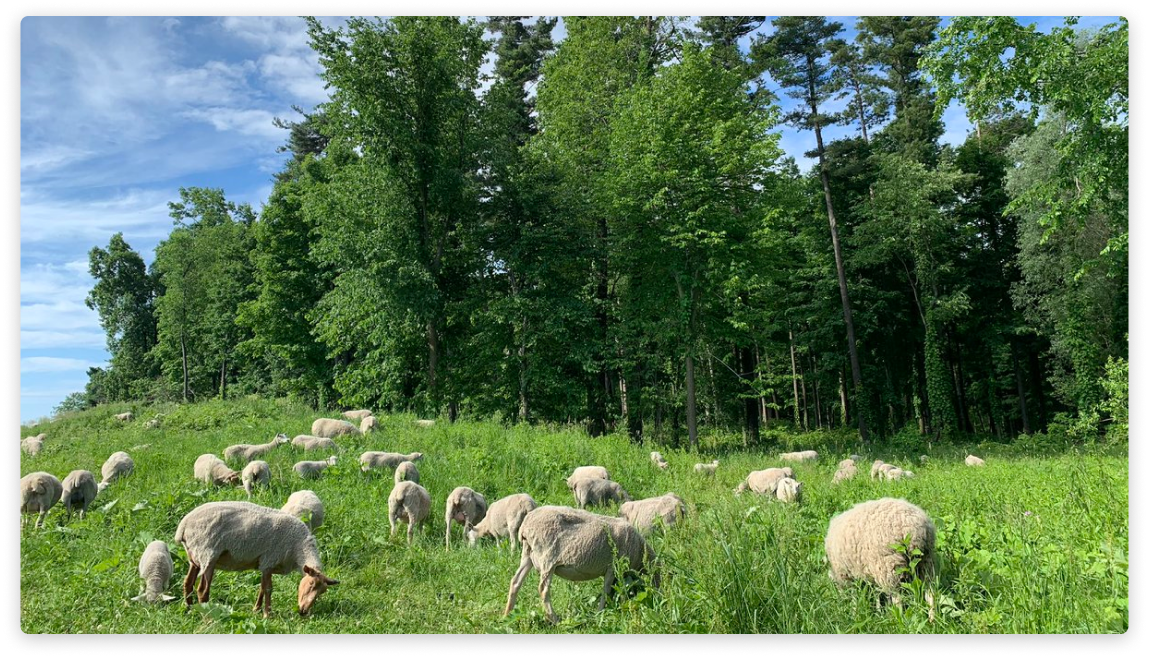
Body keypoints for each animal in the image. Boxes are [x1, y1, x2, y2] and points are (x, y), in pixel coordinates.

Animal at [175, 501, 339, 617]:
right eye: (311, 585)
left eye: (322, 592)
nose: (303, 611)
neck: (298, 548)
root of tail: (183, 525)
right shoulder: (269, 560)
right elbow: (268, 589)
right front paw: (267, 614)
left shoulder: (265, 564)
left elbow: (261, 587)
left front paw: (256, 609)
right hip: (208, 554)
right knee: (202, 590)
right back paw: (208, 616)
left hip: (194, 557)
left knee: (188, 583)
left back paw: (190, 609)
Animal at [503, 506, 655, 623]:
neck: (640, 552)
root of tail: (525, 526)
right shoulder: (614, 567)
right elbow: (609, 589)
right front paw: (602, 612)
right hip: (547, 556)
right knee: (543, 589)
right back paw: (555, 619)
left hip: (528, 554)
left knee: (515, 582)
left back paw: (507, 615)